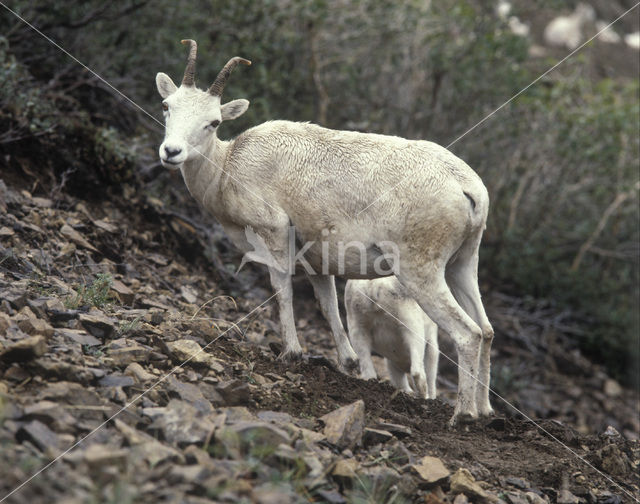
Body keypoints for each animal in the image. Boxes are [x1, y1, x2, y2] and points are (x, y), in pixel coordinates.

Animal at [156, 39, 496, 424]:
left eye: (213, 122)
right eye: (167, 106)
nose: (171, 152)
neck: (227, 168)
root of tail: (468, 189)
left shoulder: (274, 233)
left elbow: (282, 291)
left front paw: (290, 353)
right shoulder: (319, 261)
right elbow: (328, 305)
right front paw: (347, 363)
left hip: (421, 273)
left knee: (467, 333)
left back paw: (462, 415)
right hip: (462, 265)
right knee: (486, 330)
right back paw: (485, 411)